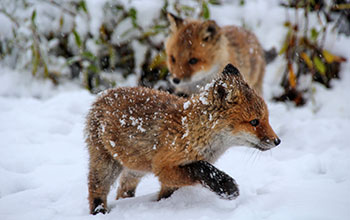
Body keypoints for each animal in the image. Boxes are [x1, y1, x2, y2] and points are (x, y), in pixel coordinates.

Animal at [85, 64, 282, 215]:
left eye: (267, 118)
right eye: (254, 122)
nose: (277, 141)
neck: (191, 131)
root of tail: (103, 94)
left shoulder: (167, 177)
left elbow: (168, 193)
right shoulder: (164, 167)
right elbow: (200, 169)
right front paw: (225, 186)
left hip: (135, 168)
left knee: (123, 189)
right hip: (105, 166)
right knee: (96, 191)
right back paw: (99, 212)